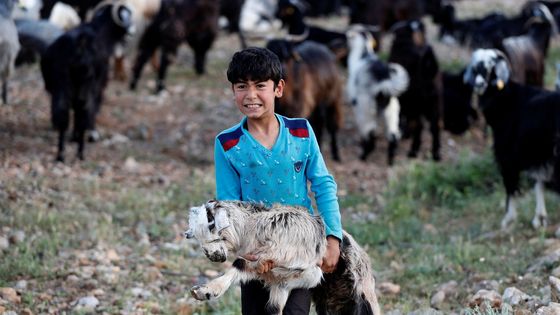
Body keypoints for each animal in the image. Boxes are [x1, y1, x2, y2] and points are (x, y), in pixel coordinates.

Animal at [41, 1, 133, 162]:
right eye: (125, 15)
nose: (132, 31)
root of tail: (80, 44)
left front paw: (73, 137)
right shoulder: (99, 87)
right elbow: (93, 109)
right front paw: (88, 135)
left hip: (62, 86)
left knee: (63, 114)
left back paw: (61, 154)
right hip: (87, 87)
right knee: (84, 112)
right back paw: (81, 153)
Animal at [348, 25, 410, 165]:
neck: (363, 54)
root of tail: (383, 78)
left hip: (365, 110)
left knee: (370, 135)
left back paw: (363, 156)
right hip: (392, 111)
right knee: (393, 136)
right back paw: (391, 160)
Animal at [388, 20, 440, 160]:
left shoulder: (403, 102)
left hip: (417, 105)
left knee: (419, 126)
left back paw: (413, 151)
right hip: (434, 105)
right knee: (435, 127)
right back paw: (436, 154)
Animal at [466, 50, 560, 232]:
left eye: (491, 67)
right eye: (475, 68)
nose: (479, 84)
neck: (508, 100)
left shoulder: (507, 156)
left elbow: (511, 186)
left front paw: (508, 220)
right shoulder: (536, 154)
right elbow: (538, 183)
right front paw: (539, 219)